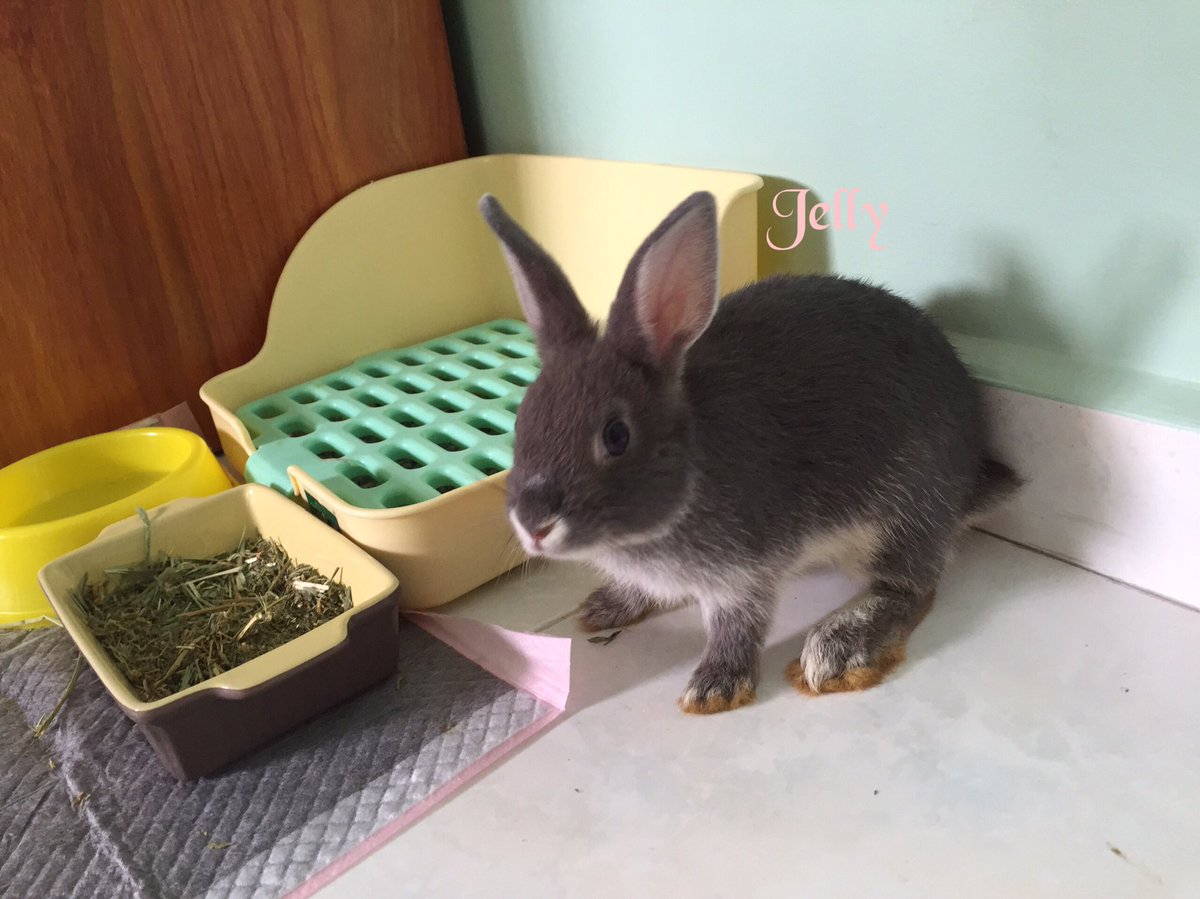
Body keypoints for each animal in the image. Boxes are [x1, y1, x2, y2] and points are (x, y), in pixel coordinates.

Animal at [479, 190, 1019, 714]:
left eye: (616, 435)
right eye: (522, 419)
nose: (533, 524)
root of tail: (969, 482)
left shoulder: (745, 569)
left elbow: (738, 623)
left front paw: (714, 689)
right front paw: (605, 607)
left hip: (902, 514)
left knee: (912, 588)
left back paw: (837, 648)